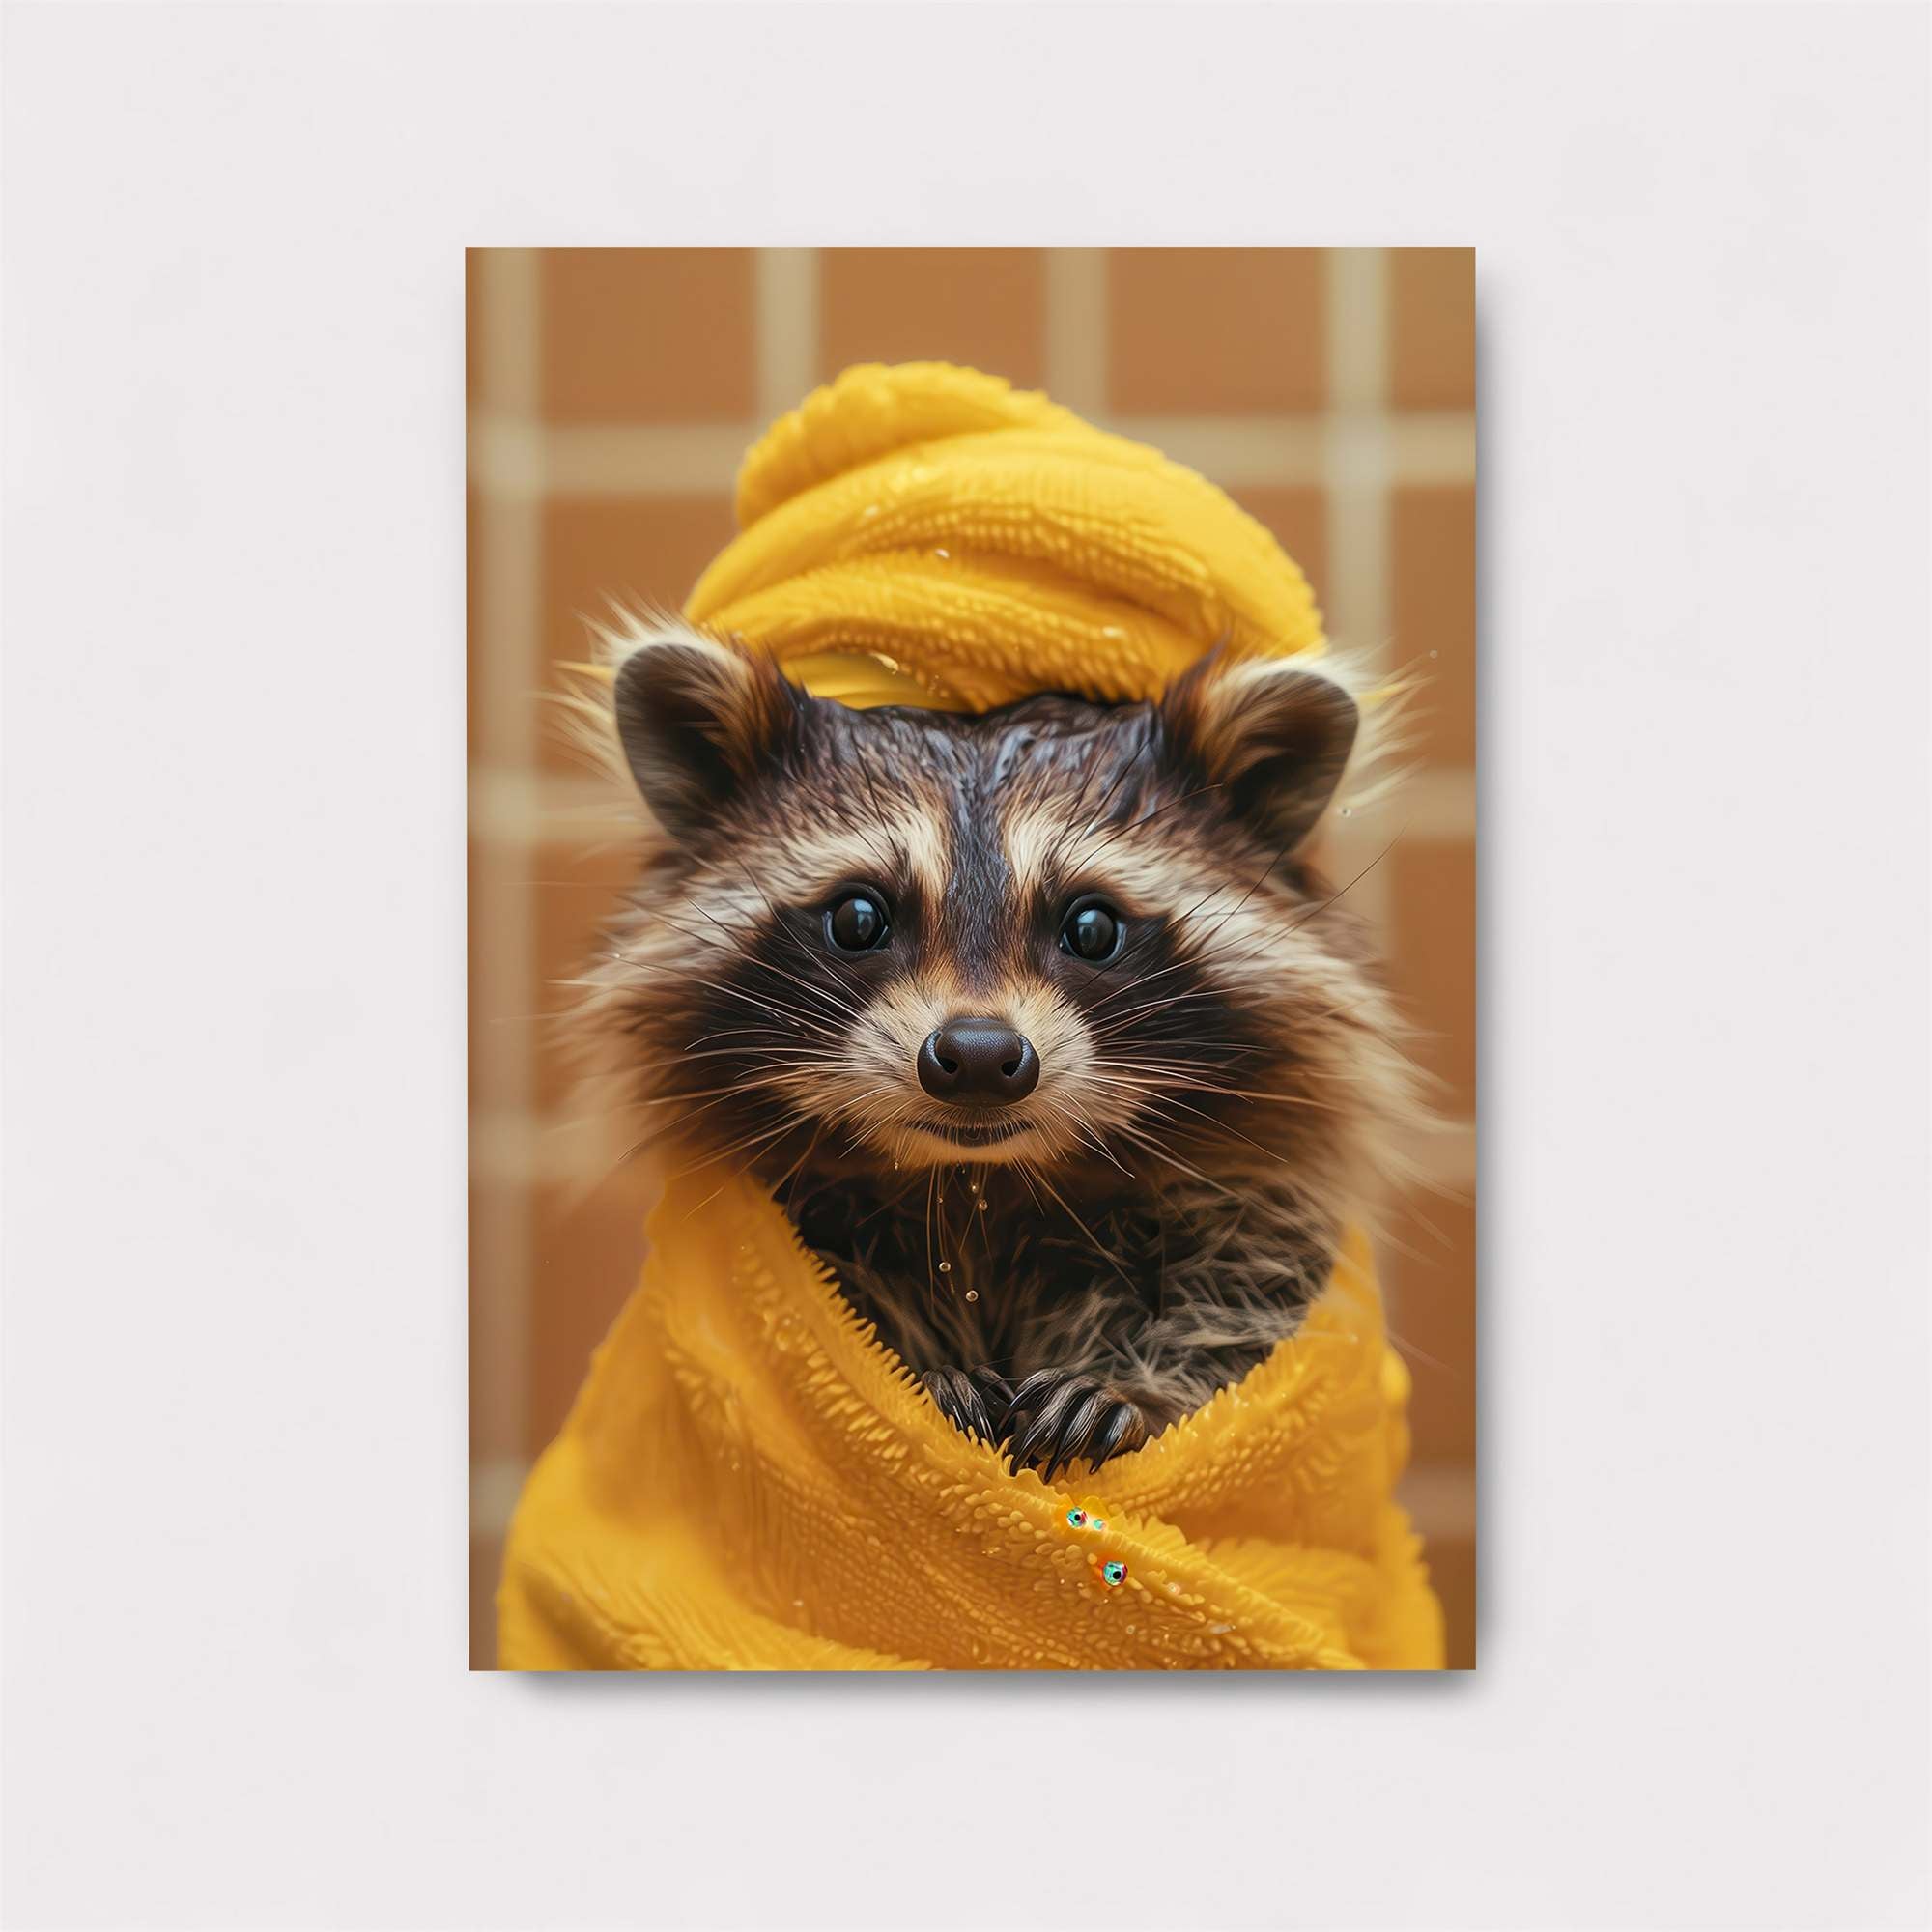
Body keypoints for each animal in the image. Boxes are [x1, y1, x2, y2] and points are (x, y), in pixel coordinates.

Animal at [577, 620, 1420, 1480]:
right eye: (857, 918)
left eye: (1092, 927)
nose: (978, 1055)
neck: (979, 1183)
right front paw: (917, 1376)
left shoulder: (1249, 1202)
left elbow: (1240, 1305)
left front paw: (1132, 1391)